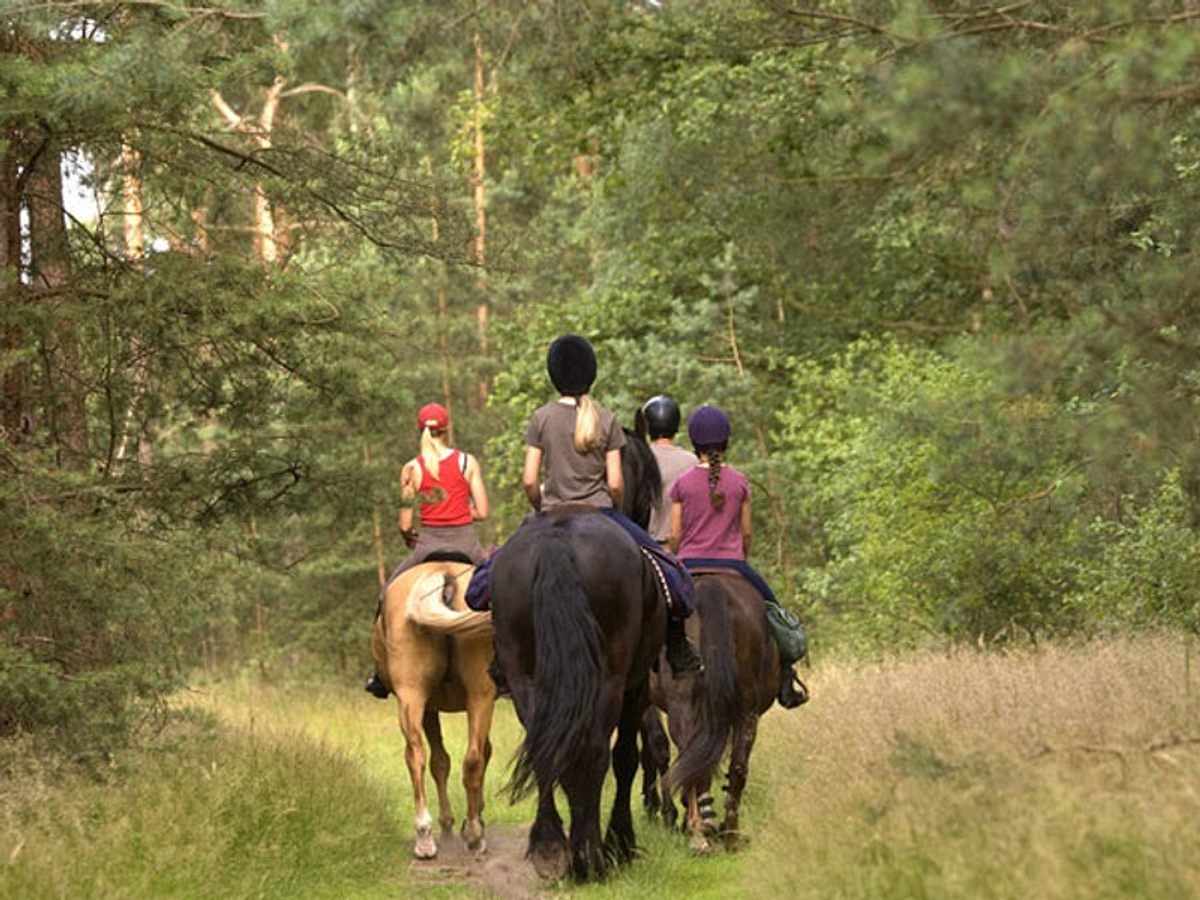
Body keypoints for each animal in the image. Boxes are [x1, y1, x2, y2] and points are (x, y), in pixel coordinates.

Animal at [367, 561, 494, 864]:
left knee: (417, 755)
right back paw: (473, 834)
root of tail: (442, 574)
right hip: (480, 694)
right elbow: (454, 759)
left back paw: (425, 837)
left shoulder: (428, 707)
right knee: (473, 758)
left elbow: (439, 761)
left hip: (413, 695)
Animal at [652, 573, 782, 854]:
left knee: (690, 751)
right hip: (747, 710)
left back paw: (700, 831)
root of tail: (711, 587)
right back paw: (729, 833)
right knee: (737, 766)